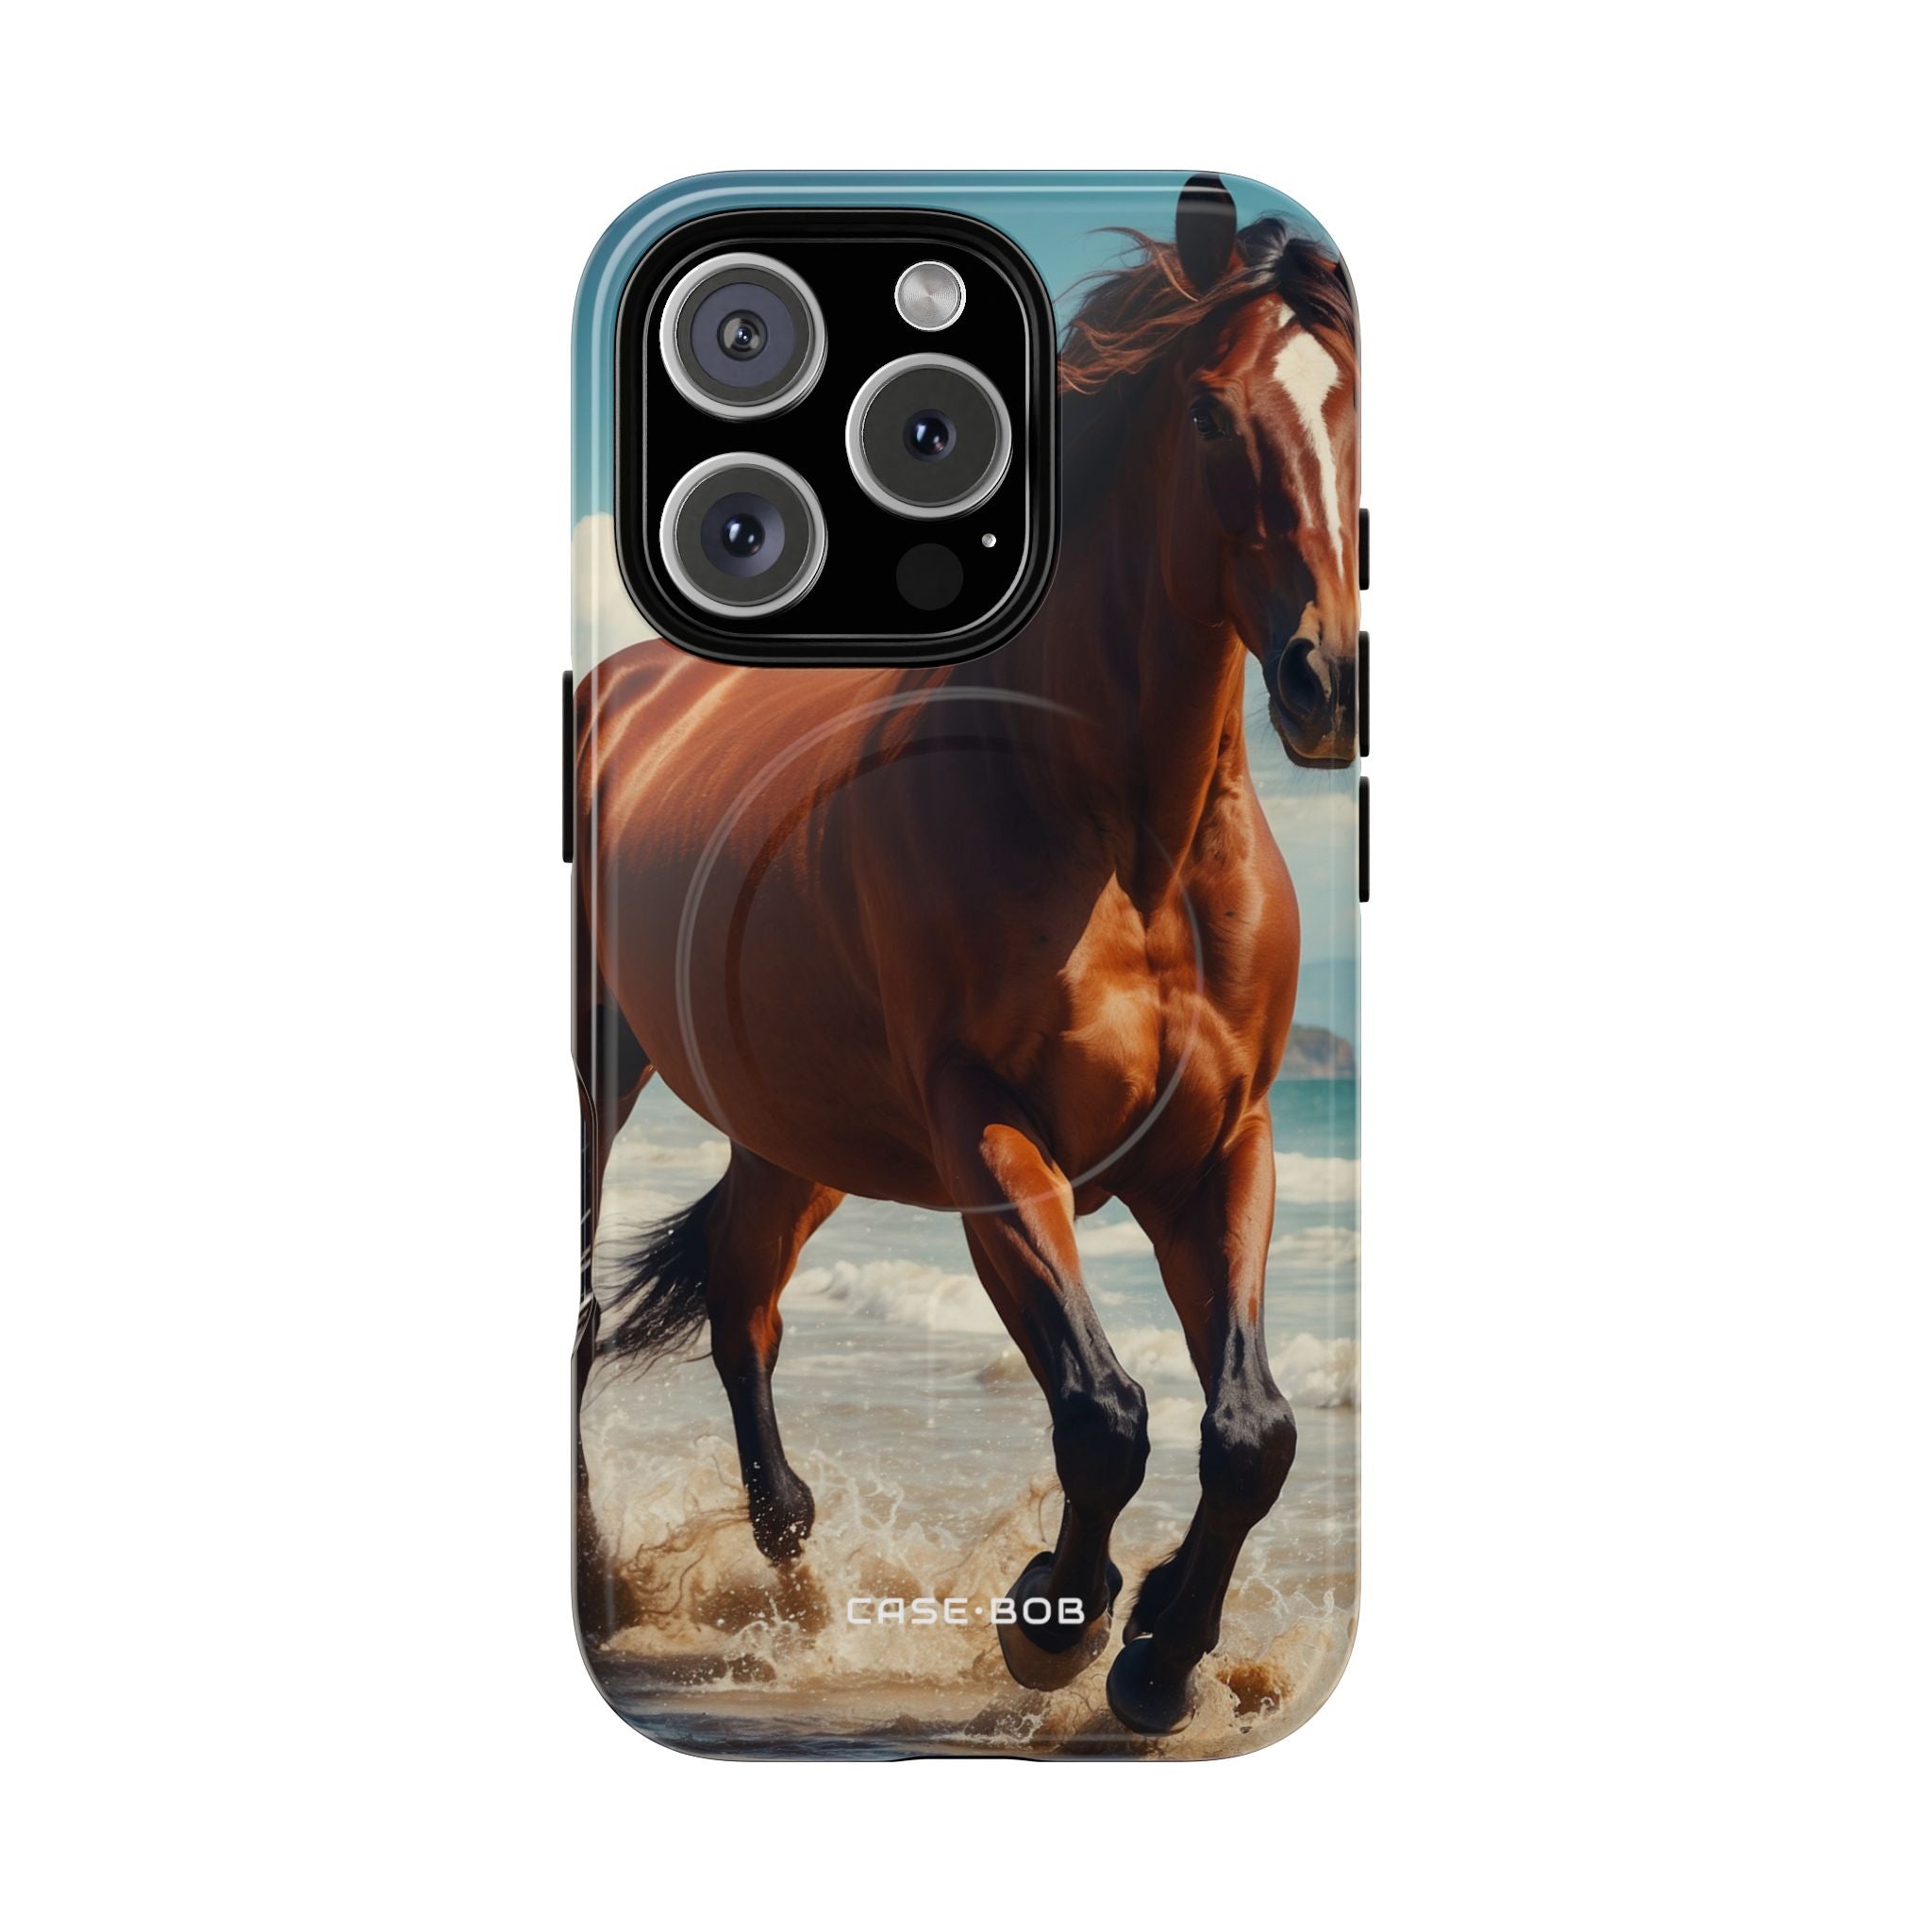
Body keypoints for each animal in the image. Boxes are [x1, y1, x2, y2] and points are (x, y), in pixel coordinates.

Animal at [574, 177, 1359, 1735]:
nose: (1328, 678)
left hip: (794, 1133)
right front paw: (1058, 1622)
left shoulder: (1222, 1145)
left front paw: (1163, 1652)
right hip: (598, 1084)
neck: (1122, 837)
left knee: (743, 1310)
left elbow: (1251, 1432)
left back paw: (799, 1590)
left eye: (1350, 394)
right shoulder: (988, 1132)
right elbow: (1106, 1416)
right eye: (1205, 412)